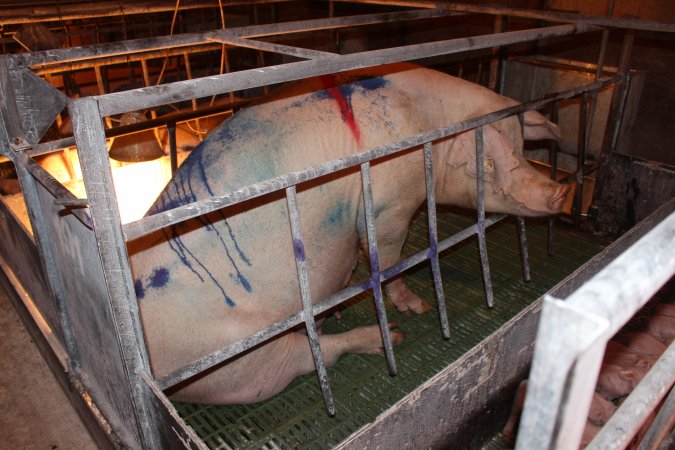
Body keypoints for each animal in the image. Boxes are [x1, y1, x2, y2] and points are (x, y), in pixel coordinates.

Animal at [128, 63, 572, 404]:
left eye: (522, 148)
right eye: (491, 163)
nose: (562, 193)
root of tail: (158, 373)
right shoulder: (389, 205)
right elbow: (388, 258)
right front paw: (417, 306)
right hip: (247, 362)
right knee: (315, 356)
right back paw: (387, 335)